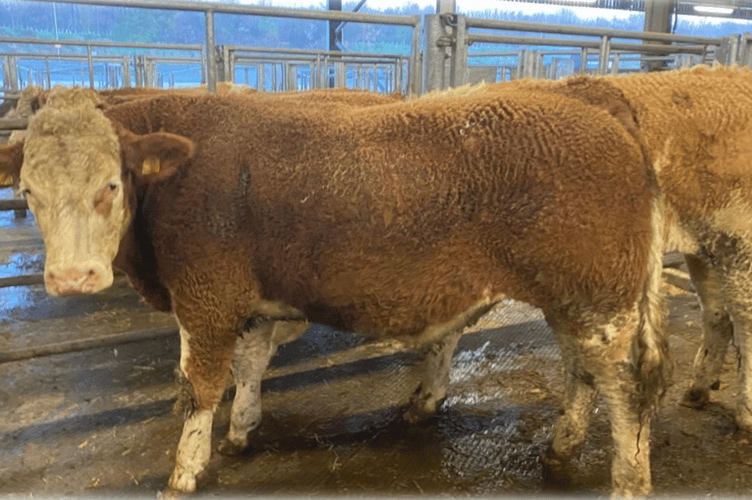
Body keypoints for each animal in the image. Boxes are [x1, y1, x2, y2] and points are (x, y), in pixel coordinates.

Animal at [0, 83, 668, 497]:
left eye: (110, 184)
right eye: (28, 190)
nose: (72, 278)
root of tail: (601, 108)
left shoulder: (207, 297)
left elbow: (199, 388)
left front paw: (184, 472)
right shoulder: (249, 302)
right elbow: (249, 366)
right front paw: (242, 430)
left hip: (597, 298)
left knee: (628, 388)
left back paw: (628, 480)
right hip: (577, 302)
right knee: (583, 373)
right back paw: (561, 447)